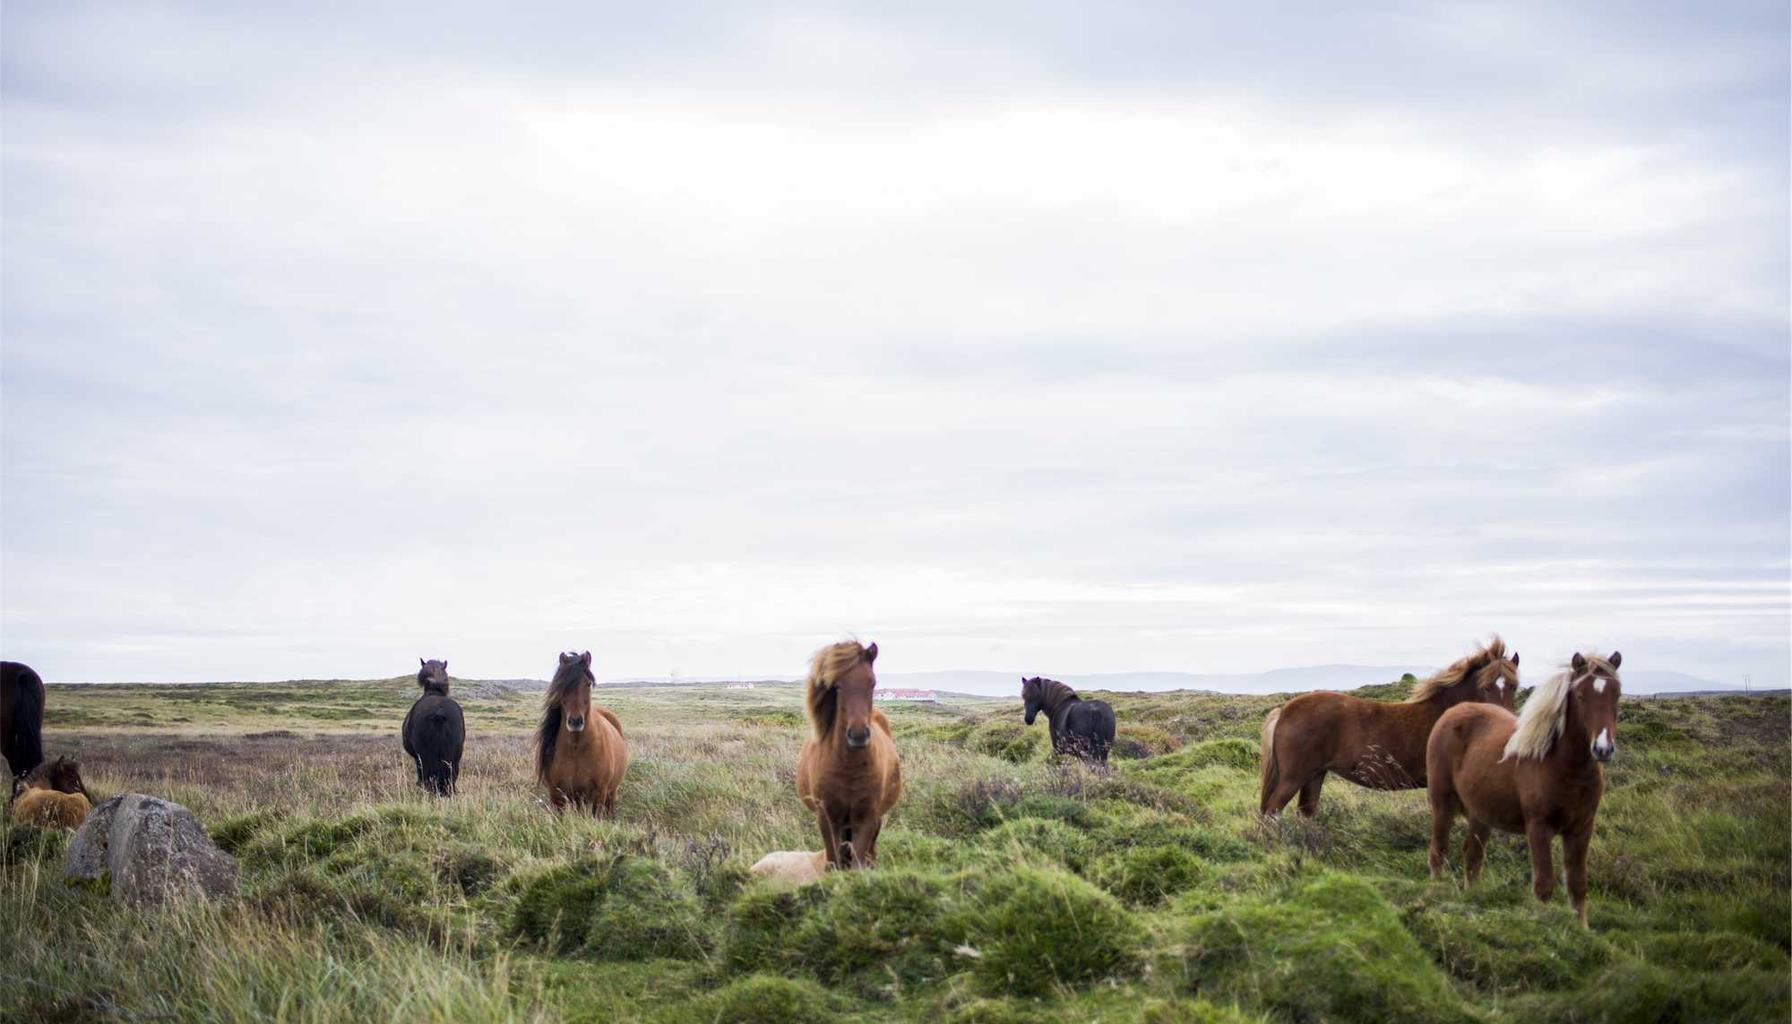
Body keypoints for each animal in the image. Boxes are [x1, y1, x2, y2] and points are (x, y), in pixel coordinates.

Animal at [401, 659, 465, 796]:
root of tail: (438, 712)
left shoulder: (417, 758)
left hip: (423, 757)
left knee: (427, 777)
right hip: (455, 756)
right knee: (451, 776)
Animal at [530, 652, 630, 814]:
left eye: (588, 683)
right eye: (561, 685)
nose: (575, 721)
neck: (576, 748)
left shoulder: (599, 793)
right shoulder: (556, 796)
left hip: (610, 792)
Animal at [799, 638, 903, 867]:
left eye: (872, 683)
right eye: (837, 685)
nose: (858, 734)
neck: (847, 766)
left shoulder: (866, 819)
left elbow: (858, 863)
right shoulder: (827, 819)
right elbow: (833, 862)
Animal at [1254, 638, 1519, 821]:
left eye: (1514, 686)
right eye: (1485, 687)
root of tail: (1284, 711)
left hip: (1314, 775)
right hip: (1294, 777)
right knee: (1271, 812)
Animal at [1426, 656, 1627, 932]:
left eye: (1616, 694)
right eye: (1580, 696)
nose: (1603, 749)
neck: (1565, 768)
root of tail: (1452, 713)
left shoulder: (1581, 829)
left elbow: (1577, 885)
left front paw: (1582, 931)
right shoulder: (1539, 828)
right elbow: (1544, 885)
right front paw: (1544, 927)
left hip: (1481, 815)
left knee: (1472, 855)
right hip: (1443, 805)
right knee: (1439, 850)